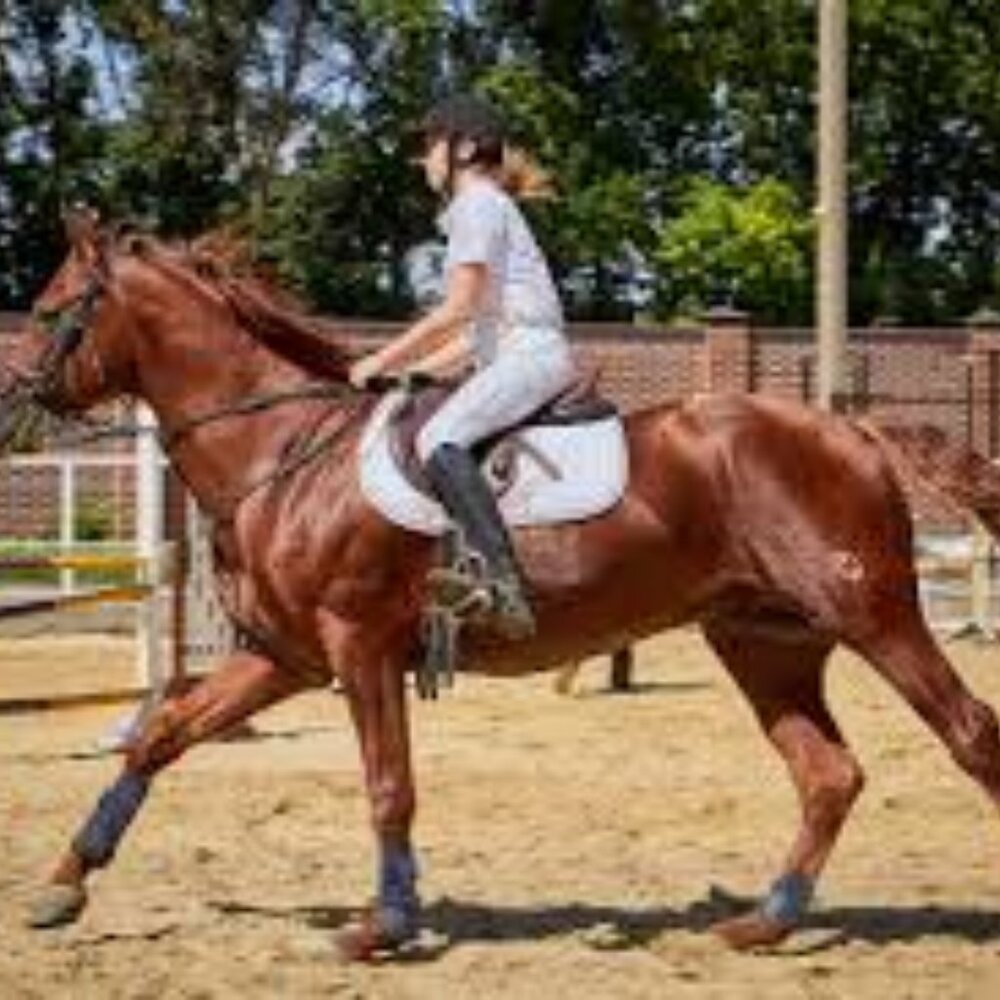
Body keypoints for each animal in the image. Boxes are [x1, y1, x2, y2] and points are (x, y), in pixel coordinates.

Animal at [4, 208, 1000, 961]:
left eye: (51, 311)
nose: (10, 406)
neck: (281, 451)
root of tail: (852, 429)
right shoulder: (286, 657)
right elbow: (160, 734)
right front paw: (63, 885)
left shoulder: (359, 647)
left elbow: (388, 785)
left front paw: (383, 927)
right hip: (764, 642)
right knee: (827, 773)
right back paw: (765, 921)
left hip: (874, 615)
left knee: (969, 735)